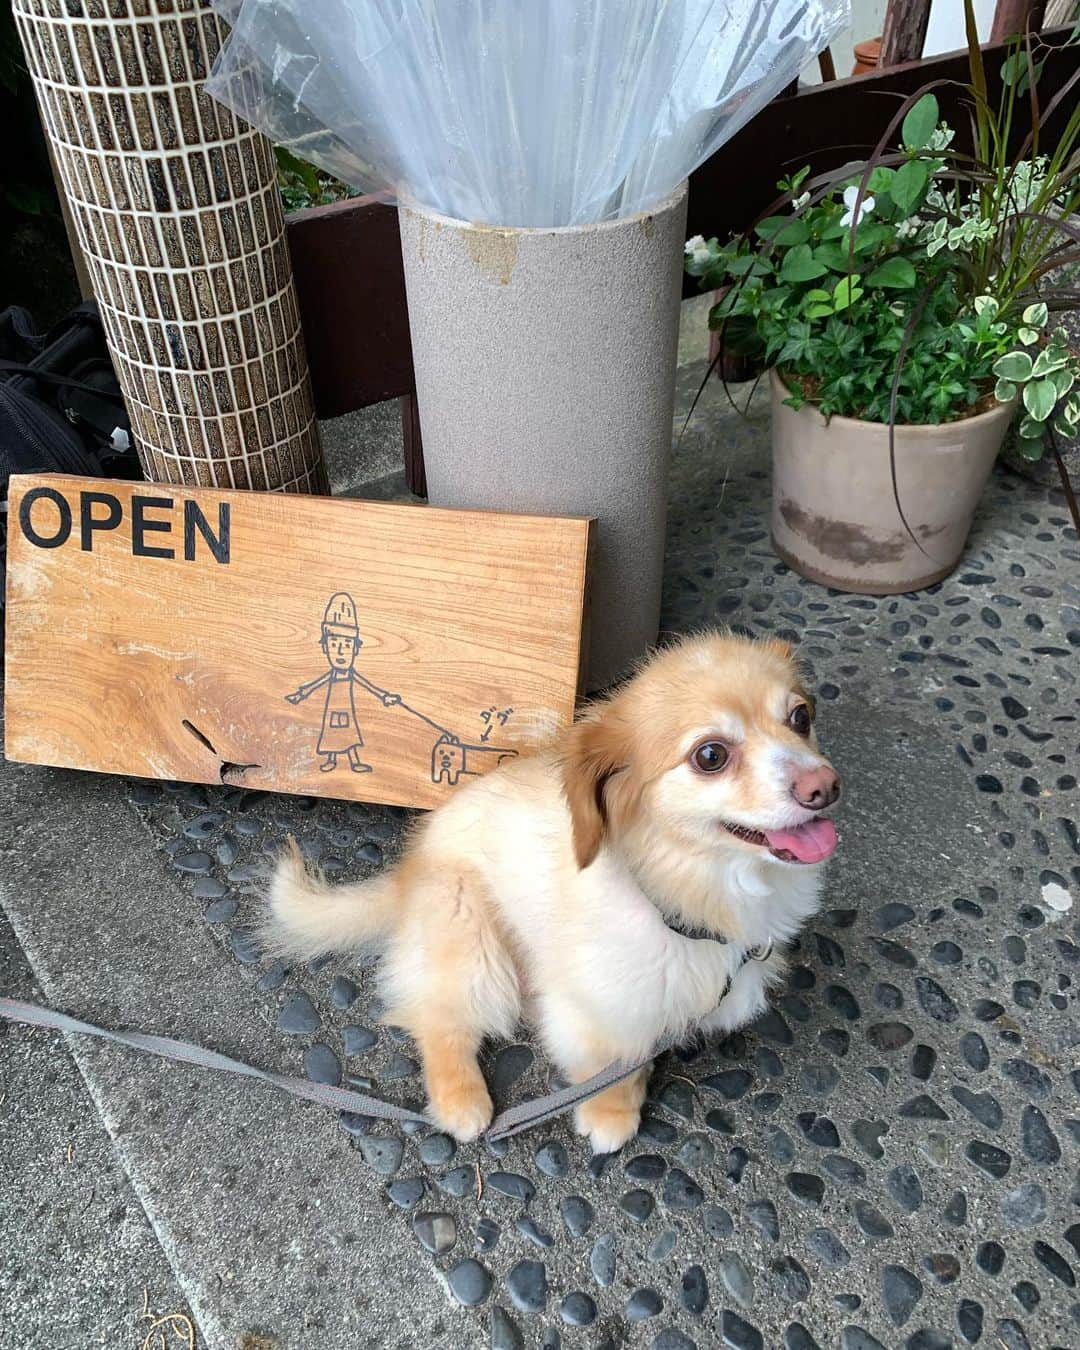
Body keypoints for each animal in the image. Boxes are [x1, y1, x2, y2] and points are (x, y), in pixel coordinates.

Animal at [265, 631, 837, 1150]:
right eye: (711, 755)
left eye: (800, 717)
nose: (824, 787)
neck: (686, 895)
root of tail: (408, 869)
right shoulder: (598, 1007)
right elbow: (617, 1065)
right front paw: (611, 1115)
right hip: (469, 934)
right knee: (439, 1018)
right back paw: (462, 1102)